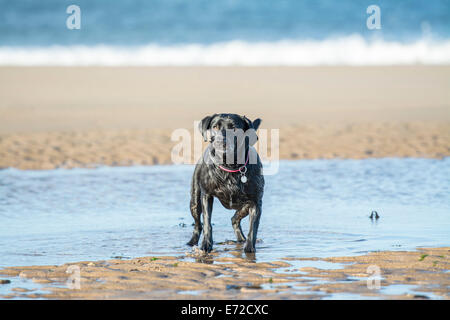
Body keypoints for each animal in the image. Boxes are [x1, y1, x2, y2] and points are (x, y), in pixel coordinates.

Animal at [186, 114, 264, 254]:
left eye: (234, 128)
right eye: (215, 127)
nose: (220, 141)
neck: (229, 166)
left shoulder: (256, 201)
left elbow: (253, 228)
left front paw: (249, 249)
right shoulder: (207, 195)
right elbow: (207, 222)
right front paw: (206, 244)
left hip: (244, 205)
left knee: (234, 219)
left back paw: (241, 239)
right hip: (195, 201)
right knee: (198, 224)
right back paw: (192, 242)